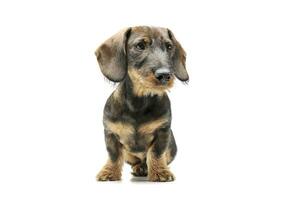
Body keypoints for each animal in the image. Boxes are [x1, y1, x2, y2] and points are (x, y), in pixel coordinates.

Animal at [95, 26, 189, 181]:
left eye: (169, 47)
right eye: (140, 46)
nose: (165, 75)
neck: (138, 104)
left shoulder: (163, 132)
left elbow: (156, 154)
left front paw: (160, 172)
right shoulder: (111, 133)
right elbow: (114, 155)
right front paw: (109, 172)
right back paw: (139, 167)